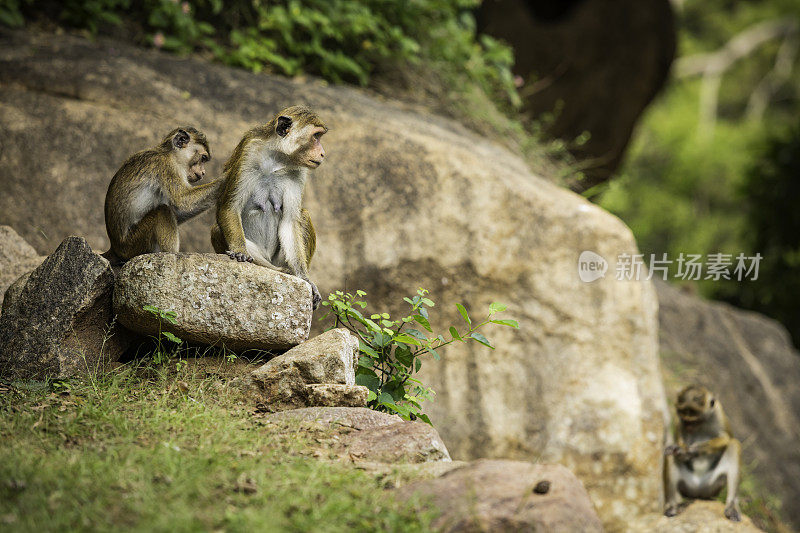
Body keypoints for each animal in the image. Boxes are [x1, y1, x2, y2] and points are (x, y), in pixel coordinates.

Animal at [104, 127, 222, 264]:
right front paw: (226, 178)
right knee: (162, 211)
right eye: (203, 158)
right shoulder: (167, 167)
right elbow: (183, 200)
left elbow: (179, 210)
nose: (203, 173)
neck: (170, 154)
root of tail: (114, 248)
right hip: (132, 244)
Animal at [212, 105, 328, 308]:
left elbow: (290, 222)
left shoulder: (299, 172)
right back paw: (278, 270)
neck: (277, 159)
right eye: (316, 136)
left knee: (303, 215)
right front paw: (240, 251)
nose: (322, 153)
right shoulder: (249, 151)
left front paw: (305, 278)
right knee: (217, 228)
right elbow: (229, 207)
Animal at [664, 384, 744, 520]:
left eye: (694, 420)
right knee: (670, 454)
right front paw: (681, 451)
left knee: (734, 444)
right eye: (684, 419)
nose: (688, 427)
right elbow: (678, 443)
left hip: (712, 486)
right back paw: (674, 506)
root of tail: (698, 493)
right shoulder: (677, 418)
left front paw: (690, 451)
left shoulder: (718, 414)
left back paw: (731, 505)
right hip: (688, 486)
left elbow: (726, 438)